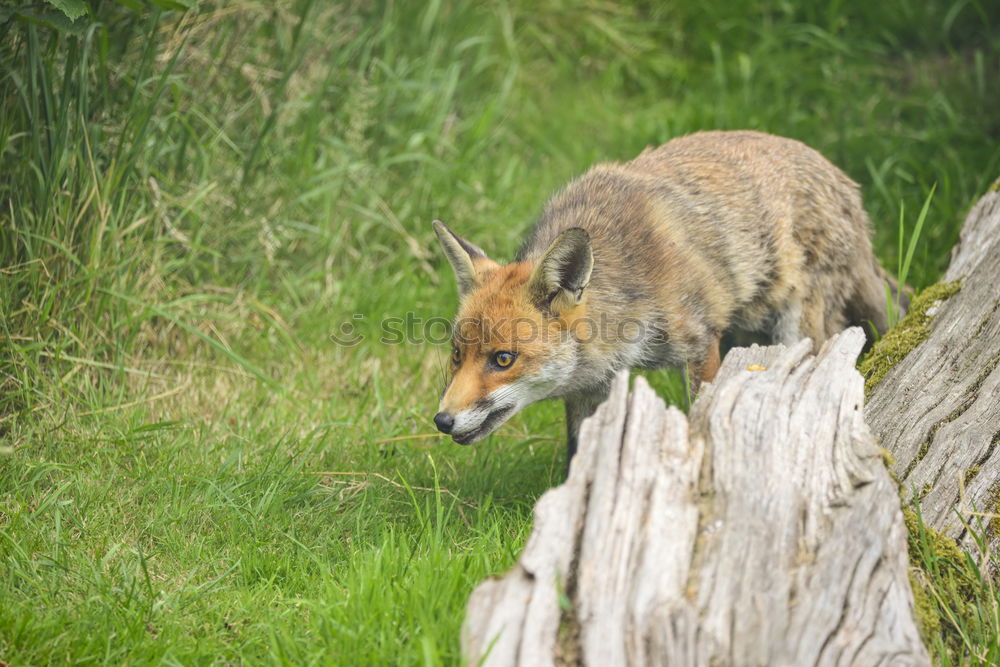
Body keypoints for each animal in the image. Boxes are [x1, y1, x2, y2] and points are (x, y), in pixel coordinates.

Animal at [432, 130, 908, 464]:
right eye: (456, 355)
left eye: (503, 359)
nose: (441, 420)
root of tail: (845, 183)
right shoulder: (589, 389)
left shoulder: (700, 345)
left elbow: (702, 414)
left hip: (795, 331)